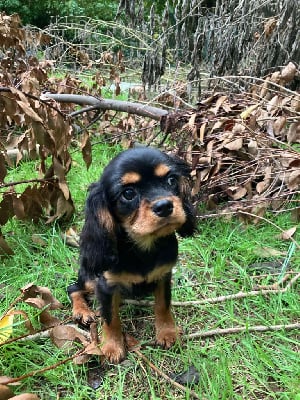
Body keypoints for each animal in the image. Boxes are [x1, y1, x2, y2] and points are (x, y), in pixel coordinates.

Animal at [67, 147, 197, 362]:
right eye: (128, 193)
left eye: (171, 180)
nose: (164, 206)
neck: (143, 245)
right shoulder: (106, 285)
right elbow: (110, 317)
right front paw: (112, 347)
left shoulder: (164, 276)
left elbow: (163, 305)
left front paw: (167, 333)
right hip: (90, 277)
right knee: (73, 288)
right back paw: (82, 311)